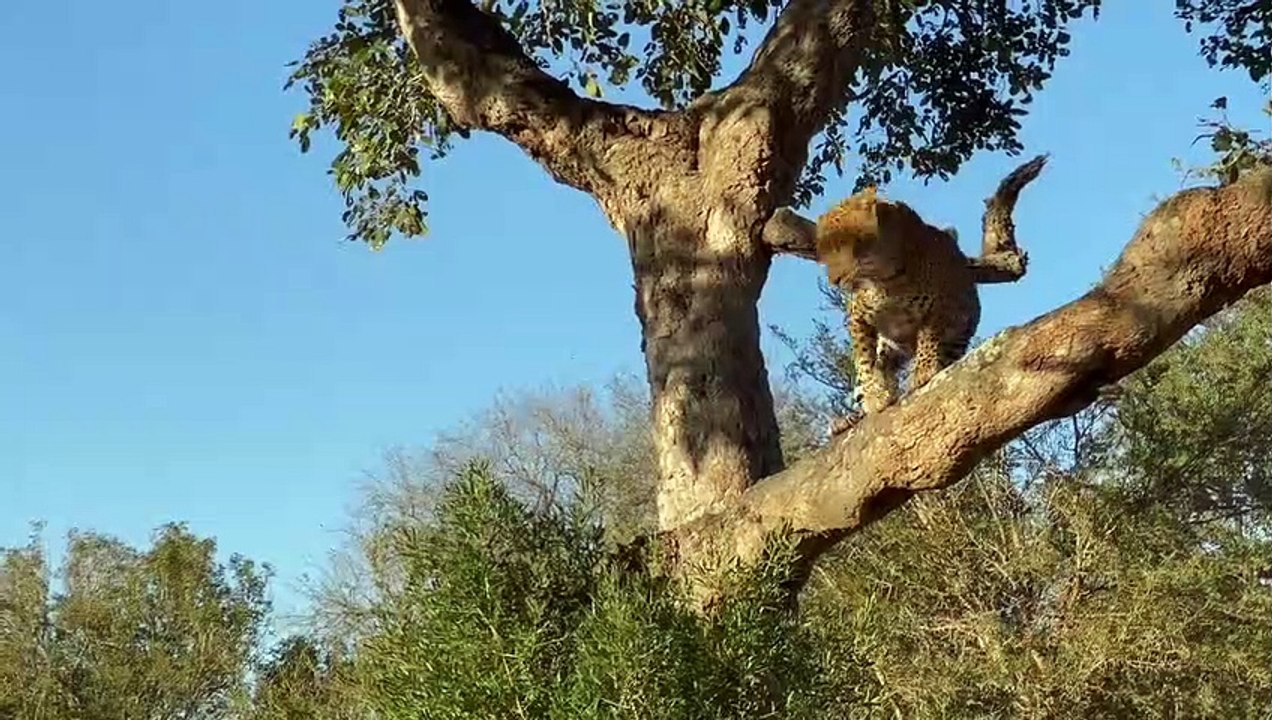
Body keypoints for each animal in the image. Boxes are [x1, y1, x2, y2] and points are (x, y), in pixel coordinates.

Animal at [815, 186, 981, 427]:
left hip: (957, 339)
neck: (885, 277)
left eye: (845, 243)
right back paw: (850, 418)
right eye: (824, 254)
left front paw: (923, 372)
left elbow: (928, 339)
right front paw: (874, 395)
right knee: (881, 364)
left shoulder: (939, 306)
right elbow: (864, 360)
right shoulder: (857, 318)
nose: (834, 281)